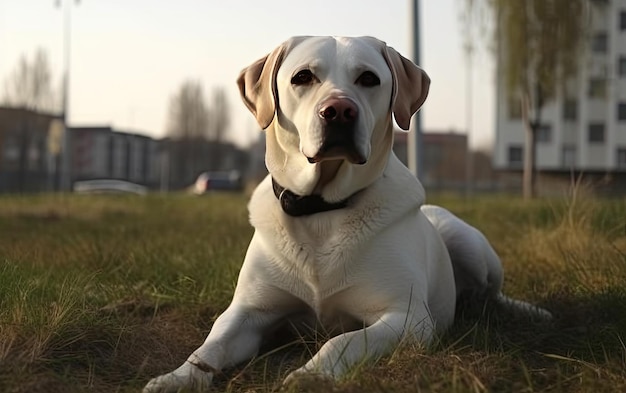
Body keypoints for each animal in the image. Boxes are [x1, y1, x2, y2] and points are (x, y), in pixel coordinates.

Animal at [143, 35, 544, 390]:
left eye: (368, 78)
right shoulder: (248, 311)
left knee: (490, 296)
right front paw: (177, 377)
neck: (321, 208)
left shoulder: (408, 317)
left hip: (467, 243)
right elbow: (211, 345)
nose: (339, 111)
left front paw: (311, 375)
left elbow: (343, 340)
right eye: (303, 77)